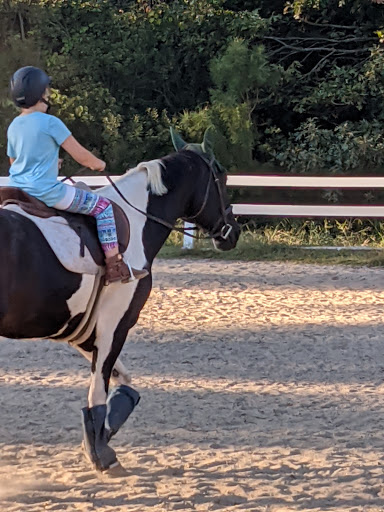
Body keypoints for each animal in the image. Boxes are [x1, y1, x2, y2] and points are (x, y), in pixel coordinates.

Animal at [0, 132, 240, 472]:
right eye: (222, 177)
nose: (232, 232)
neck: (137, 221)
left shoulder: (83, 332)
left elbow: (123, 384)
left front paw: (102, 434)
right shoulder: (115, 325)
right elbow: (99, 390)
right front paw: (103, 455)